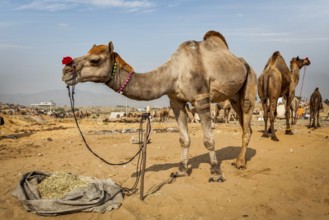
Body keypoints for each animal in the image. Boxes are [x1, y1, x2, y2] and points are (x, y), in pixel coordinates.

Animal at [61, 29, 256, 180]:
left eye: (95, 60)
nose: (66, 70)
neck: (174, 73)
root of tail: (243, 63)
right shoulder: (176, 101)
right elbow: (184, 139)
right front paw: (181, 171)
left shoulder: (201, 98)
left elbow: (208, 140)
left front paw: (216, 173)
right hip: (233, 97)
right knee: (244, 124)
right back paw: (238, 160)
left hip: (249, 81)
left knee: (246, 118)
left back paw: (240, 163)